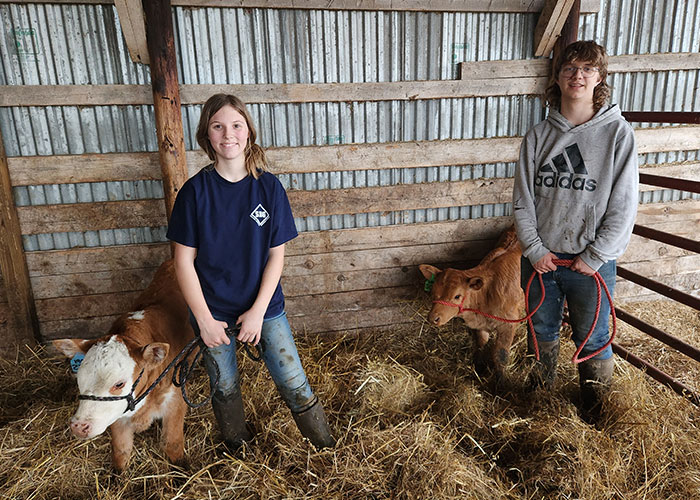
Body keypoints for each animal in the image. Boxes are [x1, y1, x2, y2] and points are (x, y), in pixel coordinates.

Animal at [53, 260, 193, 470]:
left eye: (119, 384)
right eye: (79, 380)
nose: (78, 426)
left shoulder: (175, 399)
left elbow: (173, 444)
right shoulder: (117, 415)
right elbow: (120, 451)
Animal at [418, 227, 524, 378]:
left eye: (457, 296)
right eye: (433, 291)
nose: (433, 318)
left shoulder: (508, 324)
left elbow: (501, 355)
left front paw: (501, 379)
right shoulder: (480, 325)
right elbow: (480, 345)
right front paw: (479, 368)